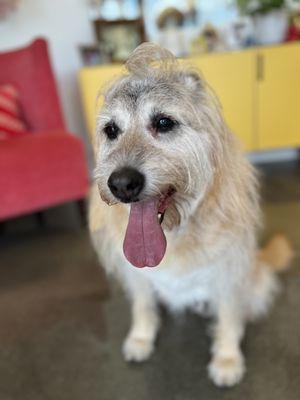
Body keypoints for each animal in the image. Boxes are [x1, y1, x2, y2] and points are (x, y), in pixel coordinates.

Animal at [88, 43, 292, 388]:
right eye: (111, 130)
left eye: (164, 122)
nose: (121, 184)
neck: (175, 233)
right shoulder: (135, 275)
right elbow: (143, 304)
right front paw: (141, 338)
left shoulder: (230, 271)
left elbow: (228, 314)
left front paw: (227, 358)